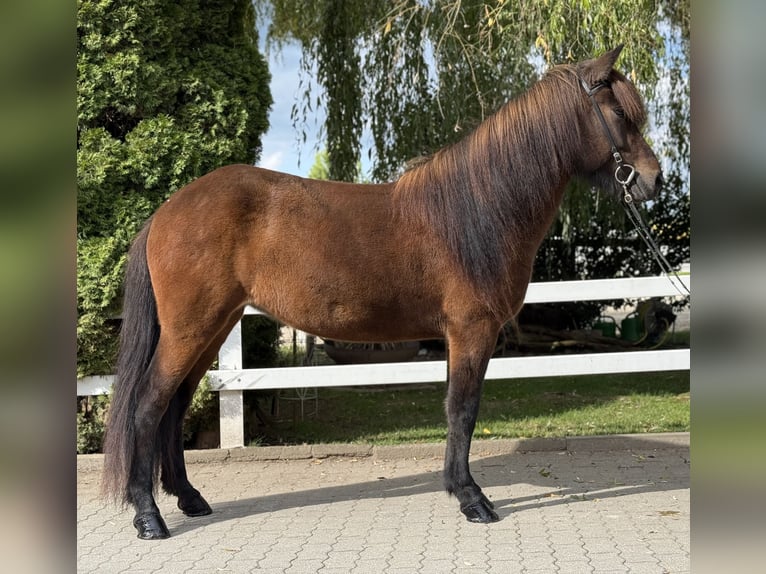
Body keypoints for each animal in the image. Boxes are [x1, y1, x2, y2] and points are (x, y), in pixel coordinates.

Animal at [102, 45, 664, 539]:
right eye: (620, 113)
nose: (654, 181)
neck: (481, 207)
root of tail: (166, 211)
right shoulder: (471, 331)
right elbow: (463, 410)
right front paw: (472, 499)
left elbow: (457, 410)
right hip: (191, 330)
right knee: (147, 407)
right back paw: (149, 517)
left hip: (212, 329)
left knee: (174, 407)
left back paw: (189, 499)